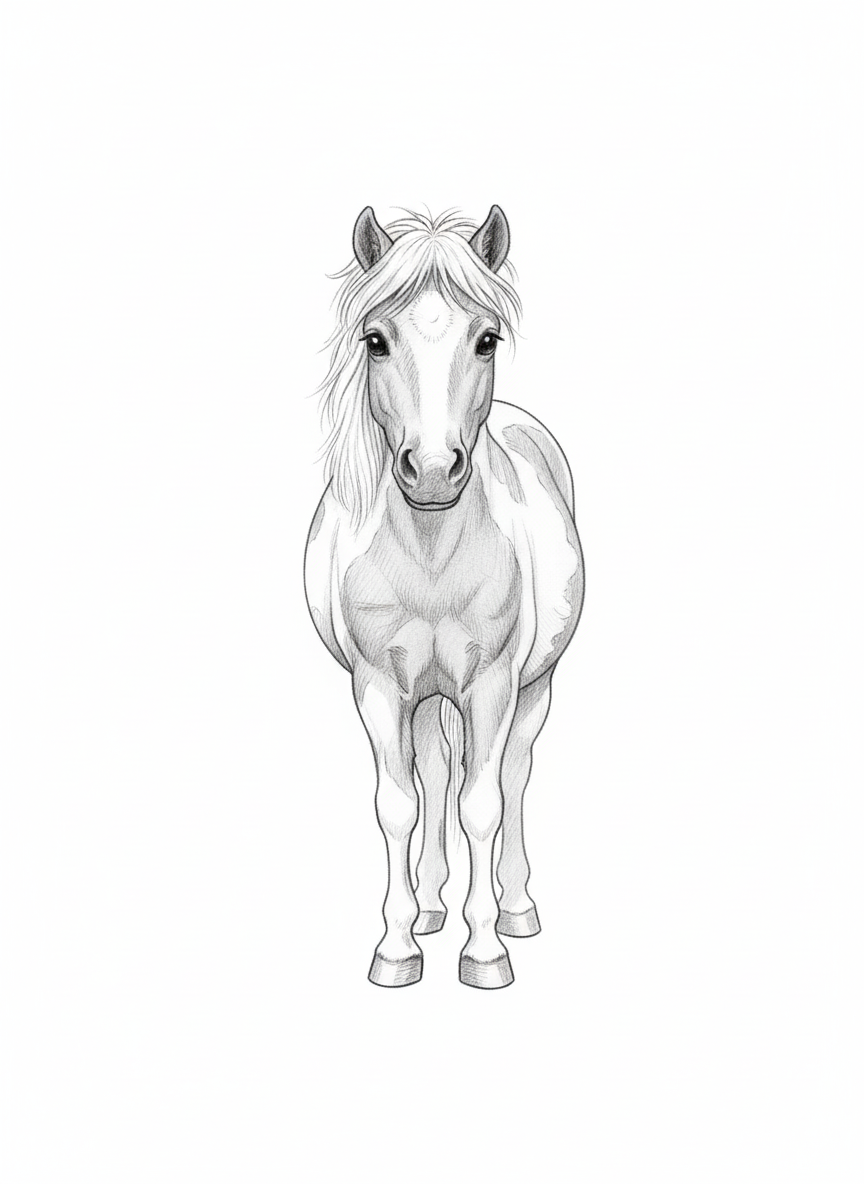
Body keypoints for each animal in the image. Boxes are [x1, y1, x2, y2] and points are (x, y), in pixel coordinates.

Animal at [304, 206, 584, 989]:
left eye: (486, 338)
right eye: (375, 340)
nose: (432, 472)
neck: (430, 556)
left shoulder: (492, 684)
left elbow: (482, 805)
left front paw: (484, 951)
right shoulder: (377, 686)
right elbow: (400, 806)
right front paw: (397, 948)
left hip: (535, 686)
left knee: (512, 775)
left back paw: (515, 909)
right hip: (424, 694)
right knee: (433, 774)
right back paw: (430, 906)